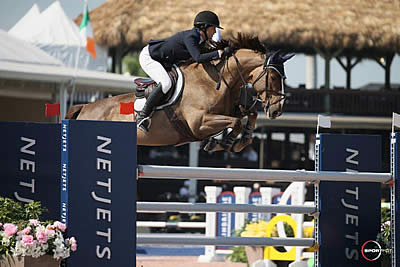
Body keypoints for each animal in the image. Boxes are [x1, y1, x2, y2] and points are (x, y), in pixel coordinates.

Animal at [65, 34, 294, 153]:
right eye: (274, 78)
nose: (277, 111)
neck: (215, 81)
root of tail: (84, 108)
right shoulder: (199, 123)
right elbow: (236, 122)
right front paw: (223, 142)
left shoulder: (227, 112)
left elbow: (249, 115)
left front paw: (238, 142)